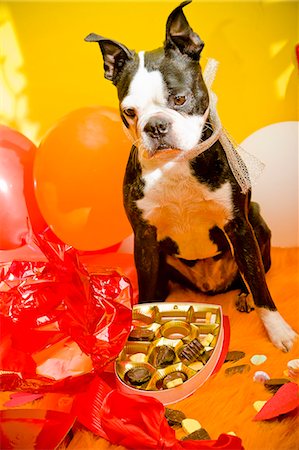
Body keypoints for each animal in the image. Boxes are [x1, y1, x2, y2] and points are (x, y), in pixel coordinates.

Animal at [86, 0, 298, 352]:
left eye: (180, 99)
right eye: (129, 112)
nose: (155, 125)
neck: (175, 164)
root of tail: (210, 285)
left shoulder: (239, 227)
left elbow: (261, 287)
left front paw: (278, 330)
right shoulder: (144, 238)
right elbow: (145, 291)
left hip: (257, 224)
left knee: (254, 274)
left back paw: (244, 296)